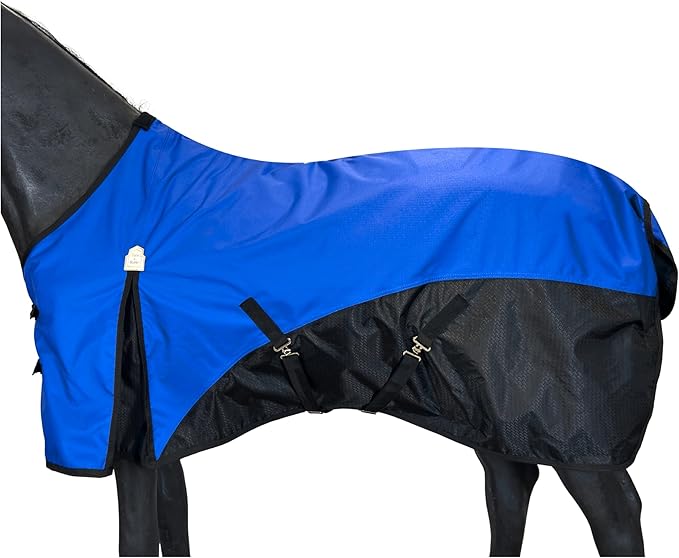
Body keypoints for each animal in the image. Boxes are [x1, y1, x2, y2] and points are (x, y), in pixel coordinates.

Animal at [2, 4, 675, 556]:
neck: (96, 194)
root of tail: (638, 209)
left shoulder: (120, 427)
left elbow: (138, 538)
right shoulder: (157, 427)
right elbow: (175, 527)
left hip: (573, 427)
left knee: (617, 518)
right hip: (490, 407)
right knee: (512, 491)